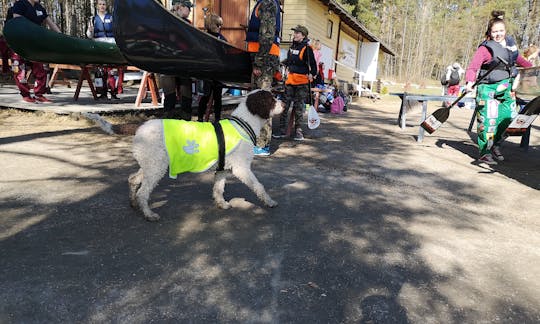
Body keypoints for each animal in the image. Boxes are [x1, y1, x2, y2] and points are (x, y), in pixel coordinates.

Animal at [129, 88, 284, 220]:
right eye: (271, 100)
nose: (284, 103)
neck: (243, 124)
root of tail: (140, 131)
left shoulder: (222, 169)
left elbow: (219, 188)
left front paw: (222, 204)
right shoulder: (242, 168)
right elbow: (259, 186)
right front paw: (270, 201)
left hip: (150, 164)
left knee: (133, 180)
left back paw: (134, 203)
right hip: (156, 166)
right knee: (142, 193)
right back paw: (149, 214)